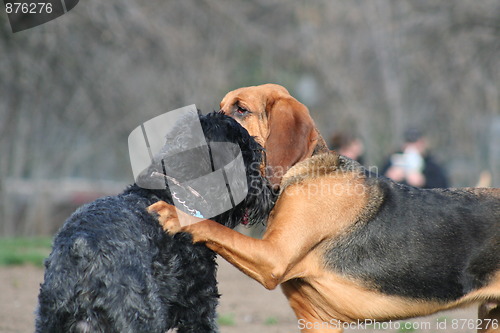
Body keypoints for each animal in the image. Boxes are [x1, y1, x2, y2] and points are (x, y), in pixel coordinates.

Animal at [150, 84, 500, 330]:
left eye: (241, 109)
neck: (301, 169)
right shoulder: (317, 319)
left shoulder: (271, 257)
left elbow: (212, 227)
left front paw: (173, 213)